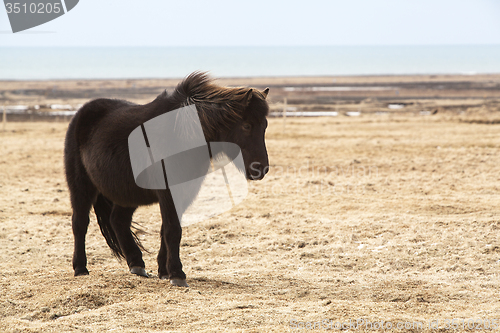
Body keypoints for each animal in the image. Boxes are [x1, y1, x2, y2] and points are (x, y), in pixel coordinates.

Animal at [65, 72, 272, 286]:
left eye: (264, 125)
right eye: (246, 125)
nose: (260, 169)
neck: (182, 135)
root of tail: (81, 113)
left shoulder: (184, 192)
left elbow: (166, 229)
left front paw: (164, 271)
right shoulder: (168, 192)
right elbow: (173, 230)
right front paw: (177, 274)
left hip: (127, 193)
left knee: (118, 220)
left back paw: (137, 264)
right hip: (81, 187)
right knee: (80, 222)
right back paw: (80, 268)